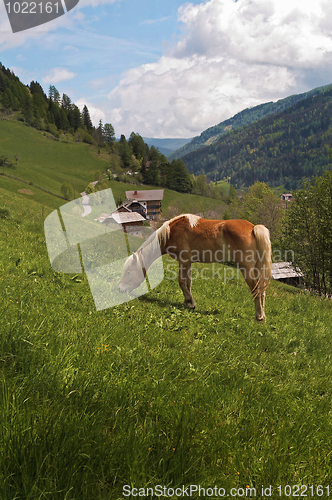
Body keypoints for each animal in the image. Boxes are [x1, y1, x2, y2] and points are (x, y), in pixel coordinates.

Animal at [118, 214, 272, 320]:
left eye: (129, 272)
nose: (119, 289)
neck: (171, 231)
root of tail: (253, 228)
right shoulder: (188, 263)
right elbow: (188, 282)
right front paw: (188, 301)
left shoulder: (183, 261)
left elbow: (181, 281)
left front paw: (190, 303)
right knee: (262, 288)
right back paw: (263, 315)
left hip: (246, 268)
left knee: (255, 288)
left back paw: (259, 315)